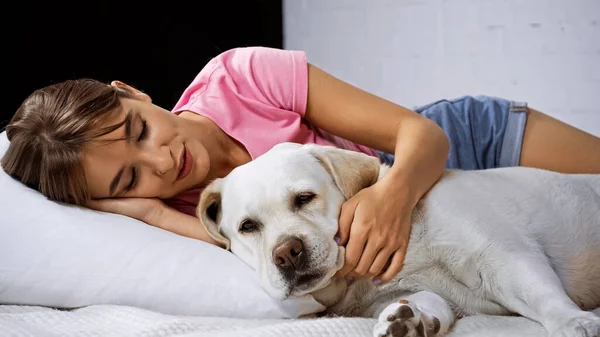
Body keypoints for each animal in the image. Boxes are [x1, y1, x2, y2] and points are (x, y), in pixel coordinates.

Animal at [198, 142, 600, 336]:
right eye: (248, 227)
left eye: (304, 198)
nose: (287, 252)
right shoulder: (424, 292)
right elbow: (425, 301)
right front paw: (408, 321)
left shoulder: (505, 256)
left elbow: (543, 295)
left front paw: (576, 322)